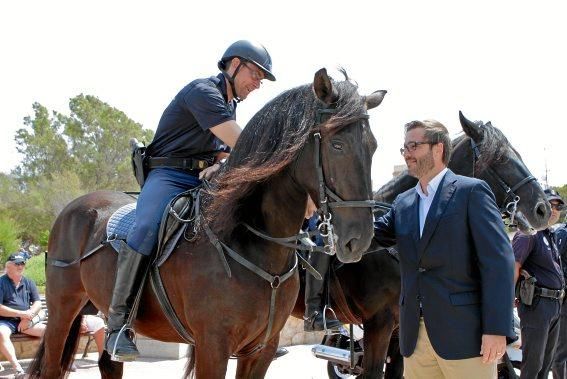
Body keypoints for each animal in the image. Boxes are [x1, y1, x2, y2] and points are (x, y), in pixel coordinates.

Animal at [28, 69, 388, 379]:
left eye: (373, 147)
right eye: (337, 144)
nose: (358, 239)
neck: (252, 243)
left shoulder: (261, 350)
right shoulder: (213, 345)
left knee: (110, 365)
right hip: (62, 310)